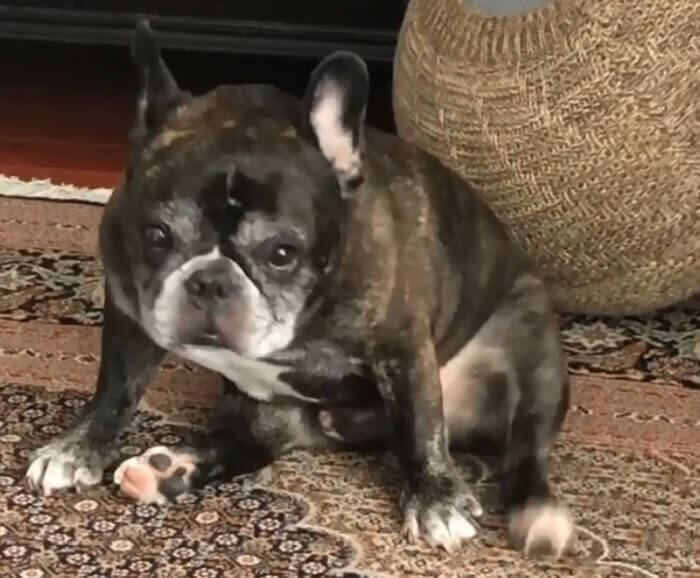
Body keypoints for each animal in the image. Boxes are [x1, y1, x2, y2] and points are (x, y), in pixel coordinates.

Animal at [25, 19, 574, 556]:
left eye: (282, 254)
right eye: (157, 236)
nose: (211, 281)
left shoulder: (402, 345)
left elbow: (419, 425)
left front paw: (436, 501)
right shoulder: (129, 313)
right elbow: (115, 390)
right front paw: (78, 449)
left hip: (534, 356)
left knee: (525, 449)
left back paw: (537, 513)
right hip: (256, 408)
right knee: (246, 445)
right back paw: (169, 471)